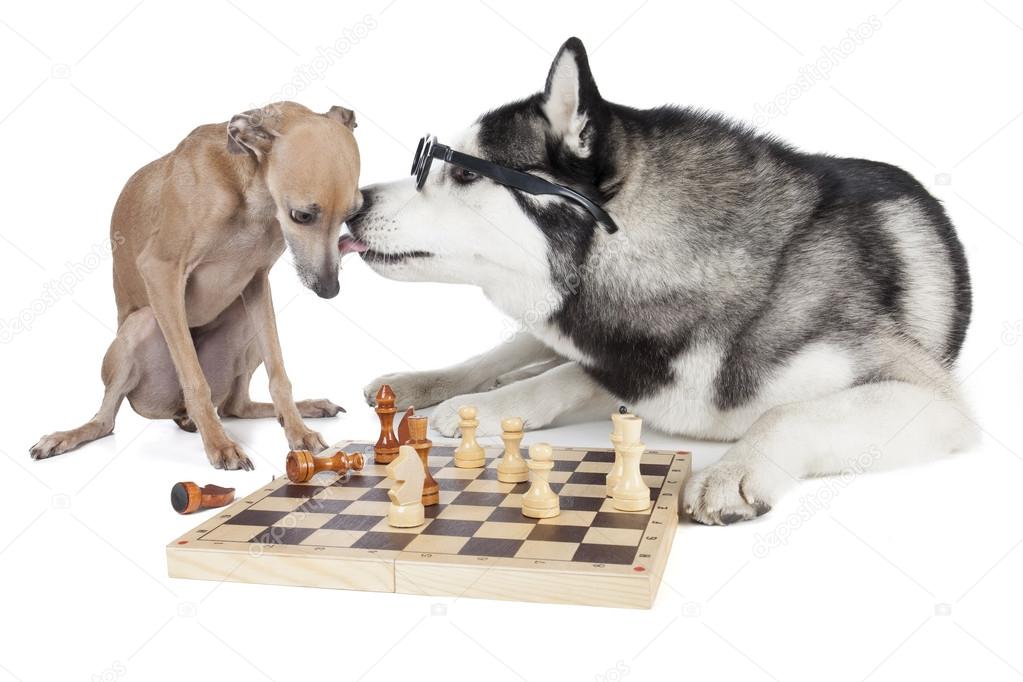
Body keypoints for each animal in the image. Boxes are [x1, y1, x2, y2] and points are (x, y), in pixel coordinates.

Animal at [31, 101, 362, 472]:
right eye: (302, 216)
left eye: (352, 214)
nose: (329, 290)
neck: (248, 192)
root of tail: (174, 412)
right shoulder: (161, 271)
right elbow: (195, 381)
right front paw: (220, 444)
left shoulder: (256, 281)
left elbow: (279, 373)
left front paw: (297, 430)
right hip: (140, 324)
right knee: (105, 421)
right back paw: (66, 436)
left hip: (245, 321)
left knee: (235, 406)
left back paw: (305, 407)